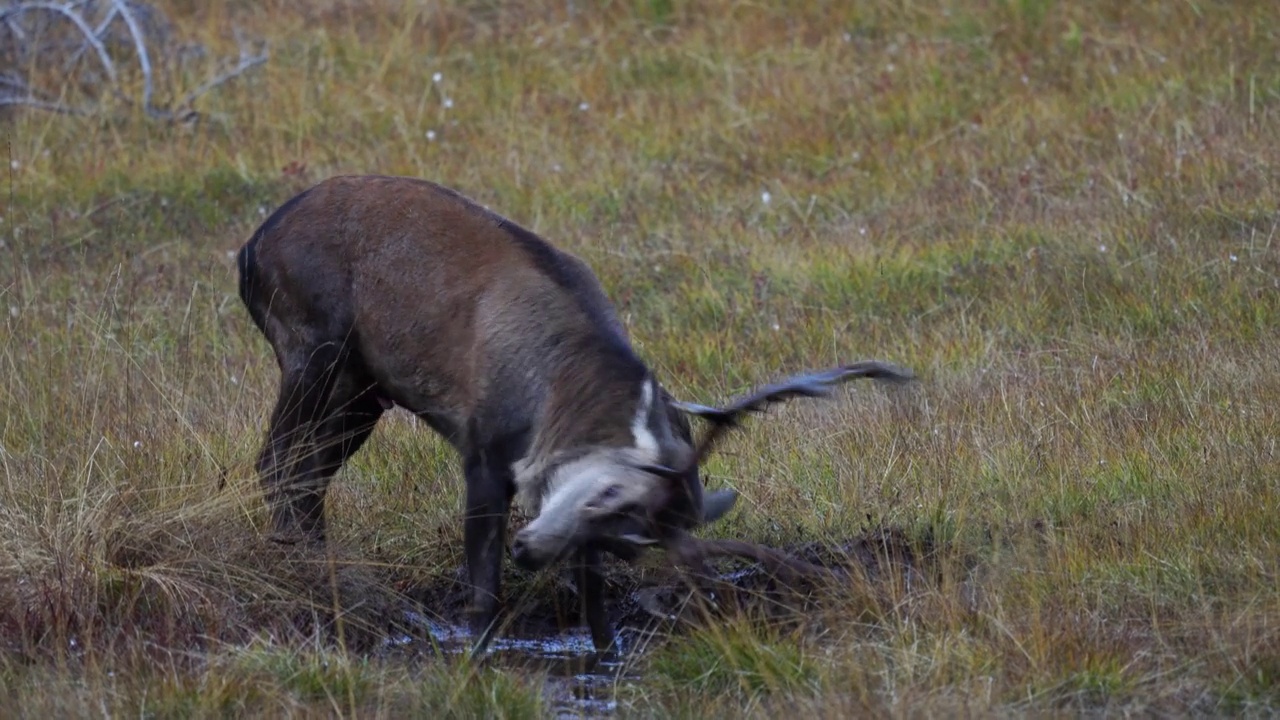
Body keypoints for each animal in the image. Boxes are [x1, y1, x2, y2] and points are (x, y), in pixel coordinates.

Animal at [230, 175, 911, 655]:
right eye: (610, 495)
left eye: (625, 538)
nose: (531, 549)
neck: (555, 392)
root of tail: (250, 250)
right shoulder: (483, 451)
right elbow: (483, 590)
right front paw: (477, 651)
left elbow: (595, 608)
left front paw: (604, 653)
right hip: (313, 350)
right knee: (278, 463)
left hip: (365, 390)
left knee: (307, 476)